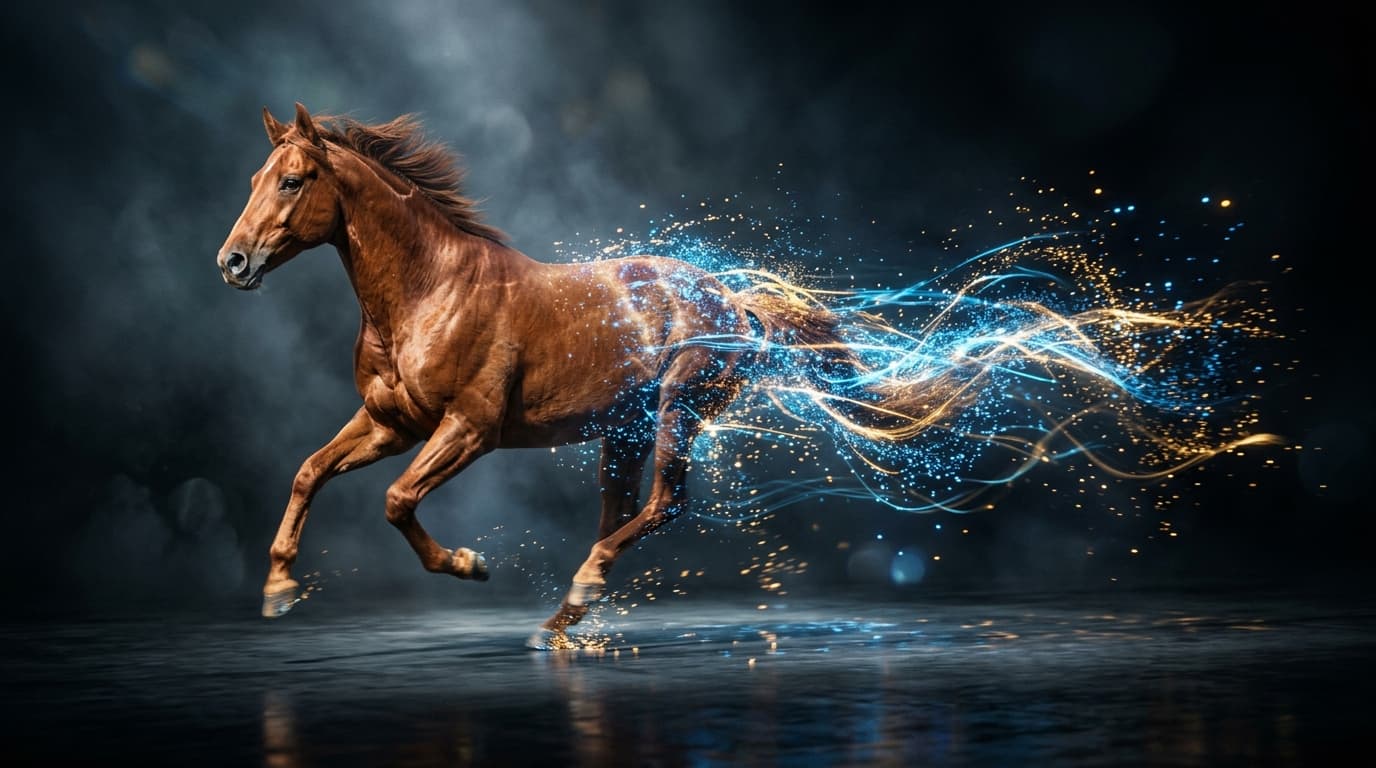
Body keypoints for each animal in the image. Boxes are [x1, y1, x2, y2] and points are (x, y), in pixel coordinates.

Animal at [216, 103, 866, 648]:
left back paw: (582, 584)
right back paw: (557, 623)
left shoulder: (470, 428)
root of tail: (735, 303)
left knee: (667, 503)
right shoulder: (390, 425)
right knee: (621, 512)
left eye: (292, 181)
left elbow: (397, 499)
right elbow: (309, 472)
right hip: (624, 433)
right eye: (251, 180)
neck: (429, 291)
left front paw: (468, 564)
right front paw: (279, 590)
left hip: (677, 411)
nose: (232, 262)